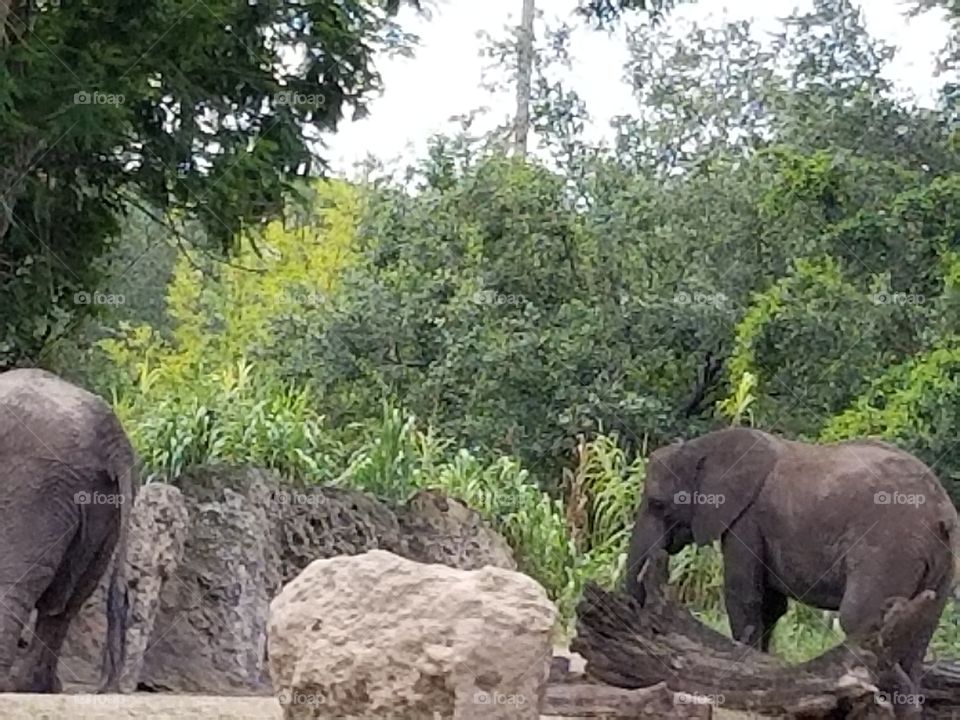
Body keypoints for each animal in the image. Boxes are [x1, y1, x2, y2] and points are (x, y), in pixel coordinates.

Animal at [0, 372, 139, 692]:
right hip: (103, 507)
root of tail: (114, 442)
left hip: (35, 485)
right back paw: (36, 688)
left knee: (14, 584)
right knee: (70, 600)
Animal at [628, 428, 956, 696]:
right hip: (944, 564)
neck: (703, 446)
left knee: (859, 618)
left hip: (889, 548)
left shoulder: (746, 520)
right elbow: (771, 606)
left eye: (657, 504)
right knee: (919, 635)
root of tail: (942, 512)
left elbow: (744, 596)